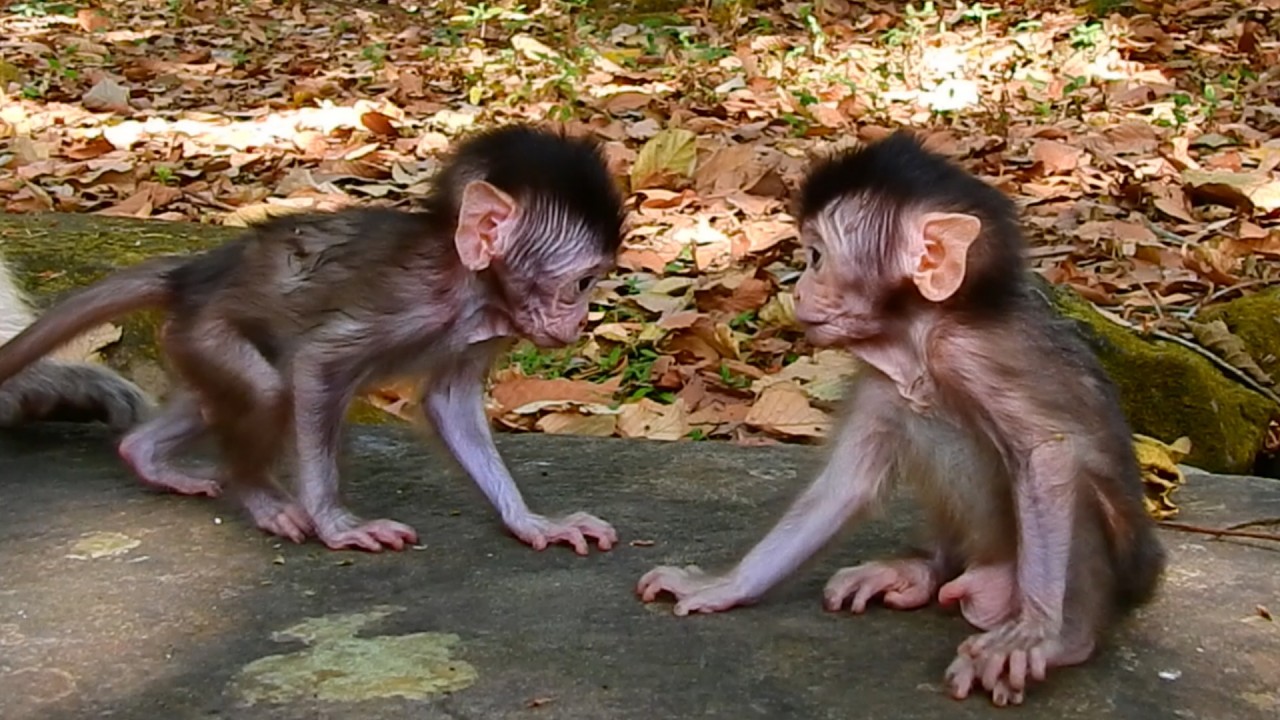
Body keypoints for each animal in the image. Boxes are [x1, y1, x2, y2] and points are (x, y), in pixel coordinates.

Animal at [636, 132, 1166, 706]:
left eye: (816, 256)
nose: (797, 290)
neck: (920, 336)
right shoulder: (882, 382)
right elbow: (844, 487)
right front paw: (725, 586)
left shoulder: (967, 353)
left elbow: (1047, 454)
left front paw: (1037, 632)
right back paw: (924, 571)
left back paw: (1070, 634)